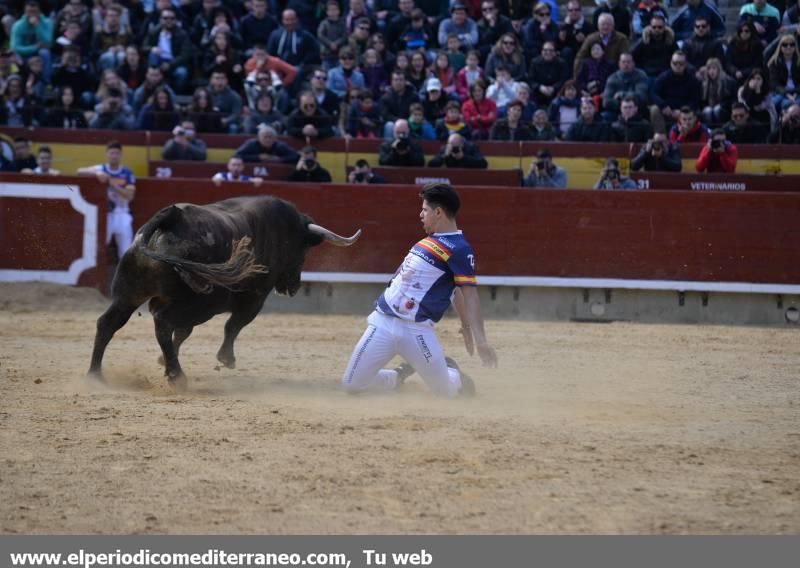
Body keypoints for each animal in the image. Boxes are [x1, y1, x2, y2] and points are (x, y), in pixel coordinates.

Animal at [87, 194, 360, 386]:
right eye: (302, 250)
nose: (293, 287)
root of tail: (169, 219)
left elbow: (184, 333)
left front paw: (163, 361)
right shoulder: (254, 297)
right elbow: (234, 325)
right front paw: (226, 359)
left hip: (129, 293)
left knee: (108, 323)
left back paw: (95, 374)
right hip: (196, 302)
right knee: (163, 323)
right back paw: (178, 377)